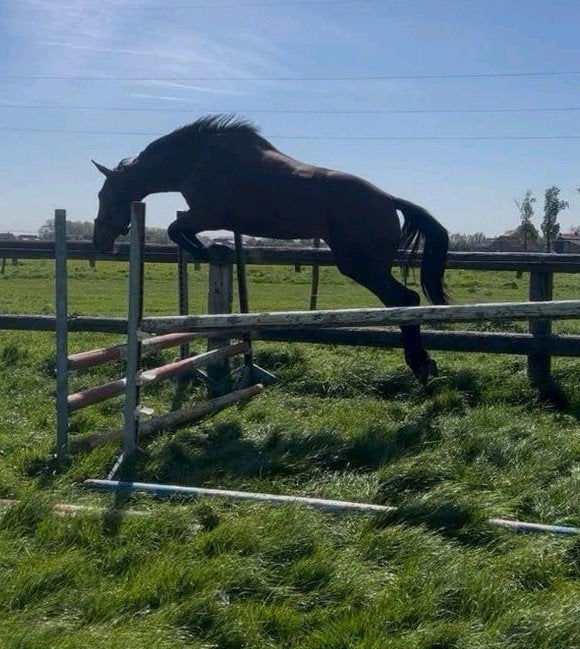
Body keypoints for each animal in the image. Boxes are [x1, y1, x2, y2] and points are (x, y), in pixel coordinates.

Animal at [93, 114, 449, 384]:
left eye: (105, 195)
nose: (99, 241)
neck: (196, 160)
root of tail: (389, 200)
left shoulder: (207, 214)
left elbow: (175, 229)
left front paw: (203, 251)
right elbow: (178, 230)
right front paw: (209, 250)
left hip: (361, 265)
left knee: (405, 299)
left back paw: (421, 365)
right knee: (403, 302)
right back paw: (424, 364)